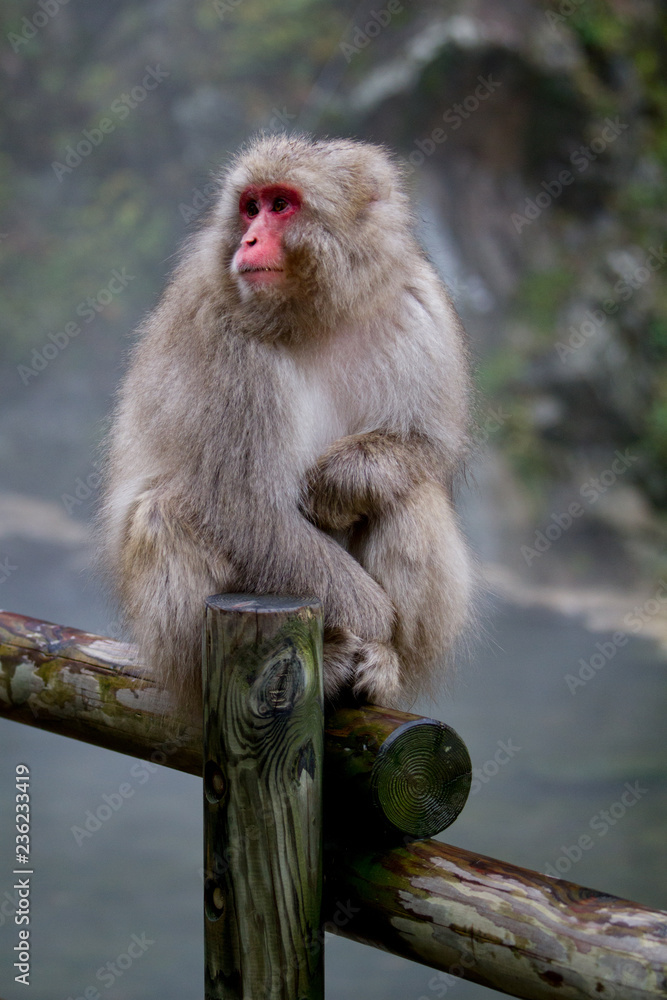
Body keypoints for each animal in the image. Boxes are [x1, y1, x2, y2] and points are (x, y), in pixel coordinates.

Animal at [99, 133, 473, 716]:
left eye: (281, 204)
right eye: (250, 206)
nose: (250, 239)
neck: (316, 313)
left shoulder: (418, 302)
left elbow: (425, 444)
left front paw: (341, 482)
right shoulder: (221, 333)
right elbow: (243, 505)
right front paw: (373, 618)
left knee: (412, 493)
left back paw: (386, 662)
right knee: (163, 514)